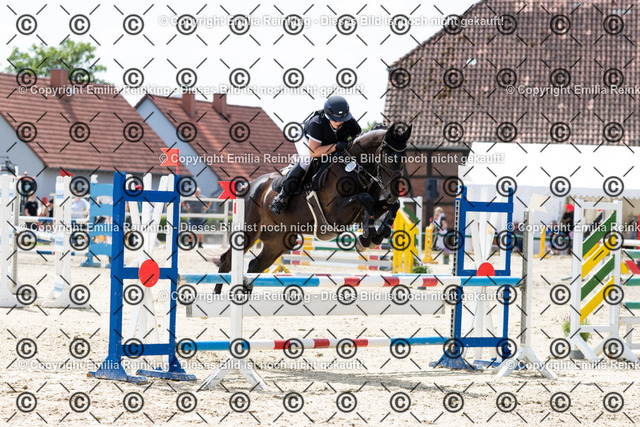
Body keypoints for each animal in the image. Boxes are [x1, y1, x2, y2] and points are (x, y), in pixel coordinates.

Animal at [214, 123, 412, 281]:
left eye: (405, 157)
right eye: (388, 155)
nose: (393, 192)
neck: (355, 169)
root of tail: (250, 186)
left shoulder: (358, 213)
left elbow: (390, 206)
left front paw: (377, 235)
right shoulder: (336, 214)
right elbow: (366, 199)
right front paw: (365, 239)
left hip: (279, 240)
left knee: (255, 265)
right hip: (249, 232)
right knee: (227, 261)